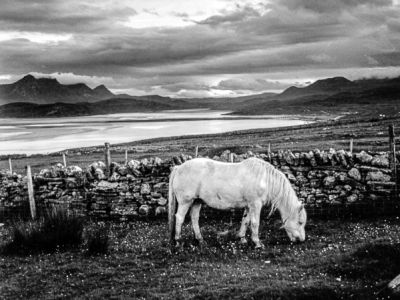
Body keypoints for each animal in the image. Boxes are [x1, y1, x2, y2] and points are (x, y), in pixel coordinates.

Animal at [167, 157, 308, 248]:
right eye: (300, 222)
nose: (301, 240)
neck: (264, 179)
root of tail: (178, 168)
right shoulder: (255, 204)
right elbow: (255, 223)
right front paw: (257, 243)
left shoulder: (249, 206)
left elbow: (245, 221)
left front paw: (242, 239)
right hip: (186, 202)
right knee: (179, 218)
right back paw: (178, 241)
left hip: (197, 201)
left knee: (194, 219)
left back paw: (200, 240)